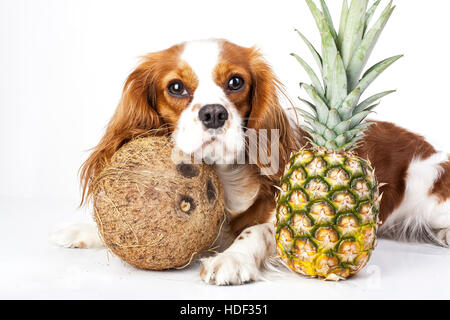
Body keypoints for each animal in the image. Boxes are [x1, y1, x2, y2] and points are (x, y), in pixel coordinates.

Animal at [51, 38, 450, 286]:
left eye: (235, 81)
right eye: (176, 87)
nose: (214, 113)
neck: (223, 177)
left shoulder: (281, 215)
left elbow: (256, 231)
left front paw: (232, 260)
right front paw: (82, 231)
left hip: (429, 190)